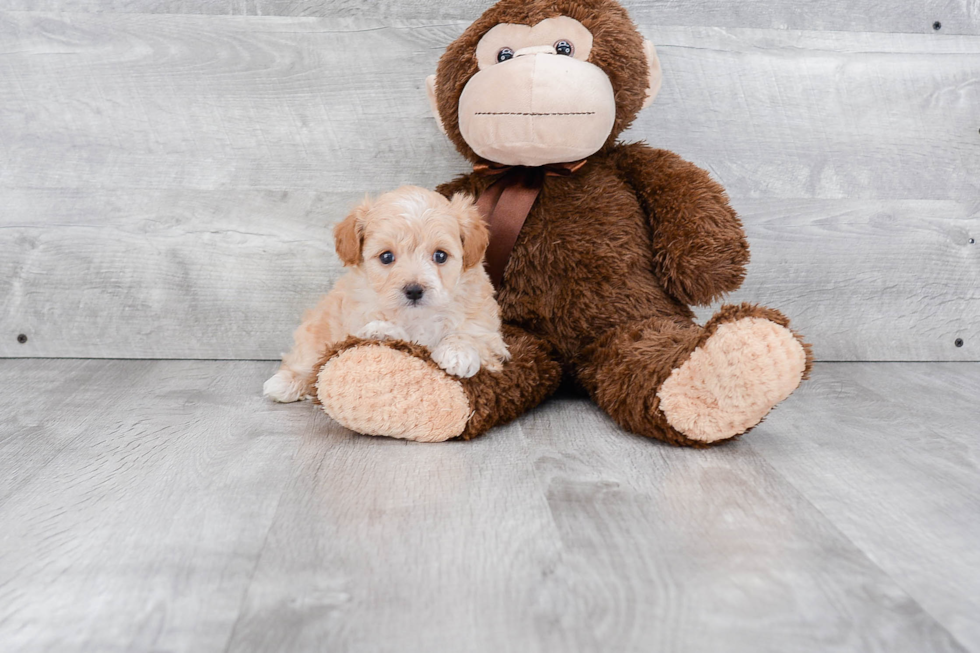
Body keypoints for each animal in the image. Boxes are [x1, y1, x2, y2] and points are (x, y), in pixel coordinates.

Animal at [264, 181, 510, 400]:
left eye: (440, 256)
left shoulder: (488, 332)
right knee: (306, 359)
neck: (416, 317)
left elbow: (470, 335)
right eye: (386, 257)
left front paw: (458, 353)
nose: (414, 290)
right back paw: (285, 383)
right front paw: (381, 330)